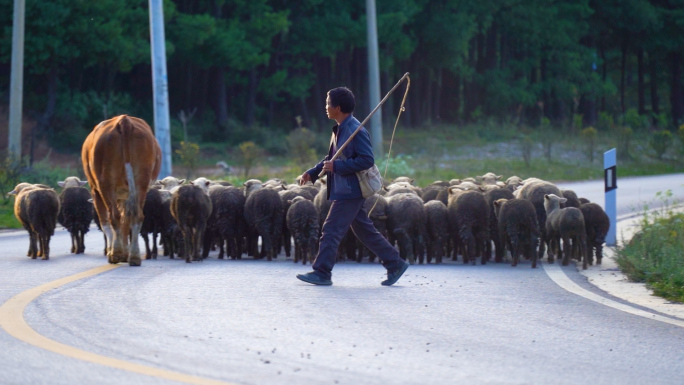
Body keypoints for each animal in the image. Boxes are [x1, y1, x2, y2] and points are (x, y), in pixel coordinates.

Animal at [82, 114, 162, 264]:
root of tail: (124, 120)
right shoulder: (125, 194)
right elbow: (125, 220)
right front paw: (125, 252)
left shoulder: (95, 190)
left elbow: (105, 222)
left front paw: (113, 251)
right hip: (141, 181)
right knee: (136, 215)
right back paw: (134, 256)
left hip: (106, 182)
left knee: (113, 216)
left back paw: (116, 253)